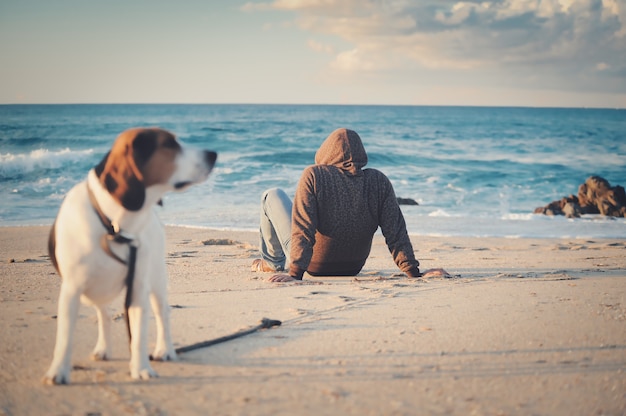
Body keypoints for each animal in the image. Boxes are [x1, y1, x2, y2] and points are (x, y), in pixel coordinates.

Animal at [43, 127, 214, 384]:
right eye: (168, 144)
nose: (213, 154)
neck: (114, 226)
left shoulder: (137, 288)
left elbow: (139, 335)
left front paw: (141, 368)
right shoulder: (72, 290)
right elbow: (65, 337)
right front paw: (59, 371)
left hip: (156, 279)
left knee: (162, 312)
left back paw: (165, 349)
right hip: (92, 292)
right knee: (103, 313)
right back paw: (103, 348)